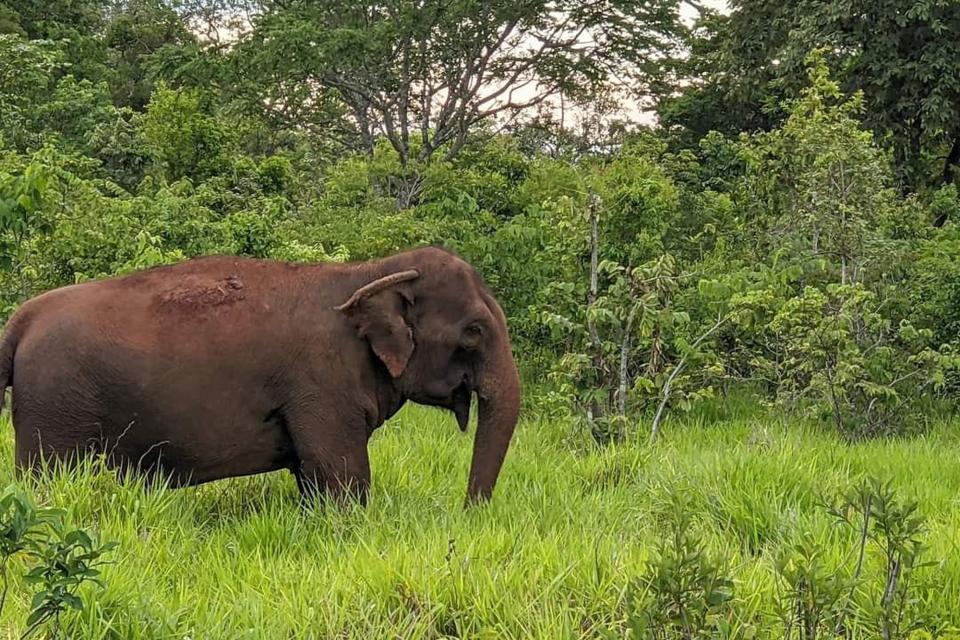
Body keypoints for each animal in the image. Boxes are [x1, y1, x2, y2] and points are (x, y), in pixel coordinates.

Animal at [0, 246, 520, 504]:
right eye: (473, 331)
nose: (466, 512)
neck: (371, 271)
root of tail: (21, 319)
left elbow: (315, 477)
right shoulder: (320, 383)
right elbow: (343, 475)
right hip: (56, 405)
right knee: (49, 479)